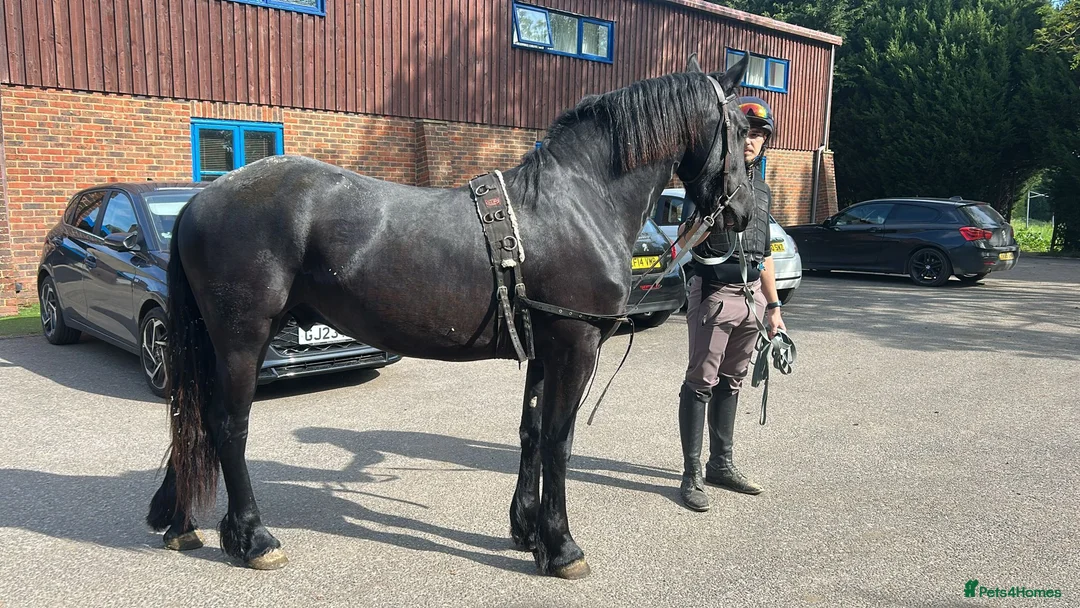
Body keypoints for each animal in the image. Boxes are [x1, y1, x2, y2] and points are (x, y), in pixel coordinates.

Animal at [146, 54, 755, 579]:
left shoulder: (545, 347)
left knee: (192, 417)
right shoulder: (575, 345)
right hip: (242, 338)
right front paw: (561, 547)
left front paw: (527, 530)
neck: (578, 202)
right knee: (227, 426)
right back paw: (252, 538)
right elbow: (559, 441)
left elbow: (532, 432)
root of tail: (201, 201)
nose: (745, 214)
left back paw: (178, 523)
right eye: (740, 131)